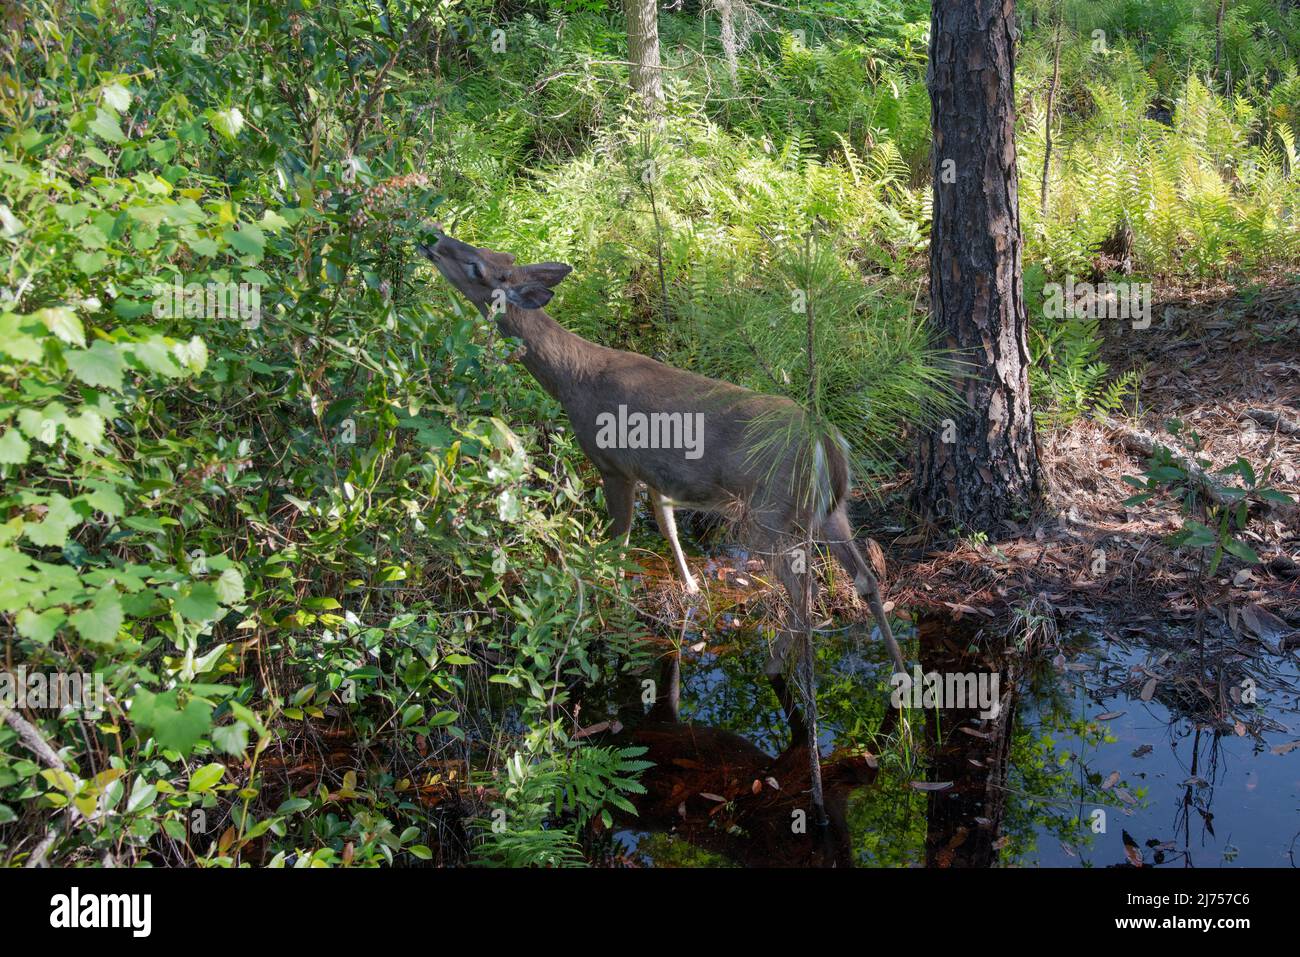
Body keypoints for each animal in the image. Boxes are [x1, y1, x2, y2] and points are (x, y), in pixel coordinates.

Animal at [421, 227, 909, 738]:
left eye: (479, 267)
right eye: (495, 253)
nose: (431, 238)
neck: (572, 380)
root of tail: (827, 444)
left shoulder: (613, 465)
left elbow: (618, 543)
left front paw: (609, 613)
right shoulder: (654, 472)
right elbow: (667, 525)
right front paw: (690, 587)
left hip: (768, 513)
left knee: (804, 593)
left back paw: (776, 668)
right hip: (831, 510)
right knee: (865, 579)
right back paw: (900, 677)